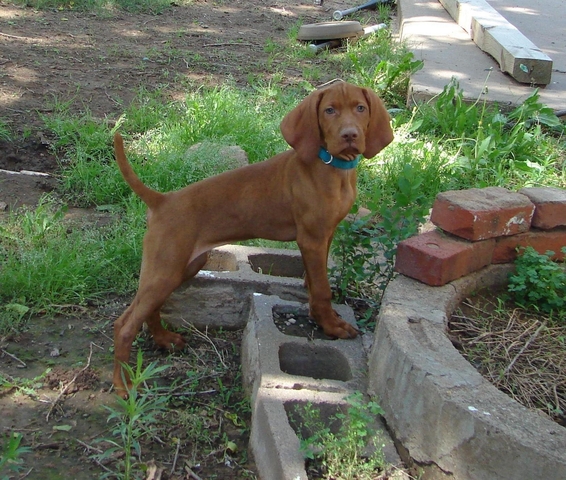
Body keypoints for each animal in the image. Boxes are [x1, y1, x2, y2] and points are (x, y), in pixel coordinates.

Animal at [112, 80, 394, 396]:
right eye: (329, 110)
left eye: (360, 108)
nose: (350, 135)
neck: (331, 167)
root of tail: (162, 200)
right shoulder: (312, 239)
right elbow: (323, 290)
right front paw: (332, 326)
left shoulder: (326, 235)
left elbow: (313, 284)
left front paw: (319, 316)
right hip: (166, 268)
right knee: (124, 325)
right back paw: (122, 386)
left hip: (182, 266)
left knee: (149, 308)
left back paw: (163, 339)